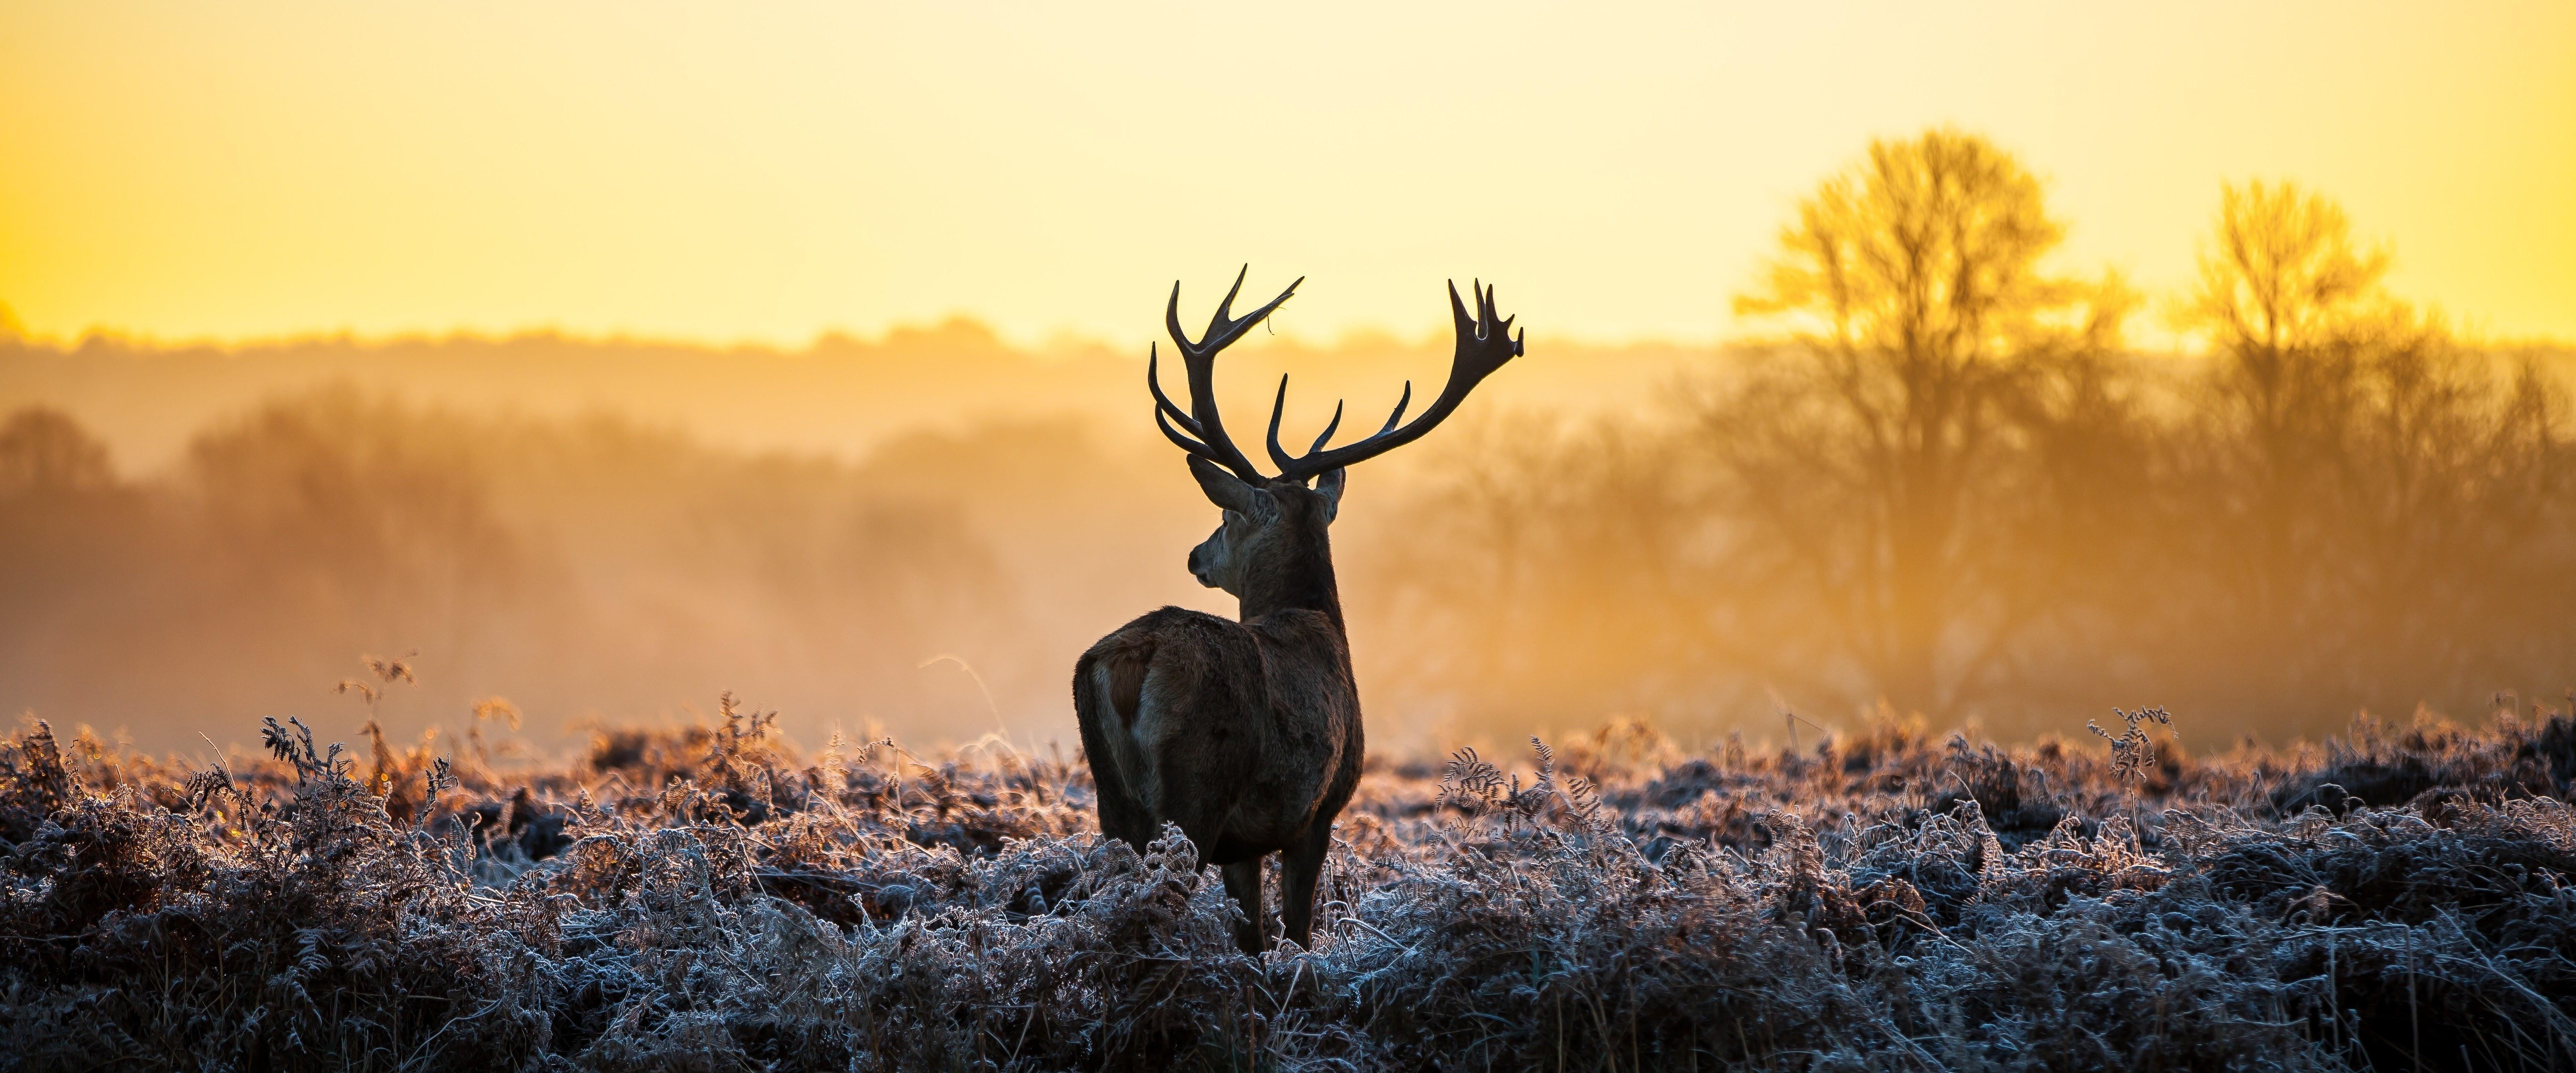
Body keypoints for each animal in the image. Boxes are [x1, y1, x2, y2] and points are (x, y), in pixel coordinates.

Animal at [1074, 267, 1525, 953]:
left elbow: (1254, 937)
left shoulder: (1247, 843)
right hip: (1197, 790)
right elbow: (1298, 933)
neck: (1319, 623)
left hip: (1113, 801)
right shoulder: (1318, 810)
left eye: (1226, 515)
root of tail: (1132, 661)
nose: (1196, 555)